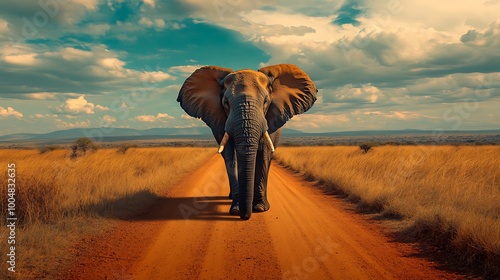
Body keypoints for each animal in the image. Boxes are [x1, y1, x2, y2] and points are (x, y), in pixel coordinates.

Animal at [176, 64, 316, 220]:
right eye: (226, 103)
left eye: (265, 101)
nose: (245, 216)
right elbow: (230, 155)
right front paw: (236, 209)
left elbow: (264, 153)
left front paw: (260, 208)